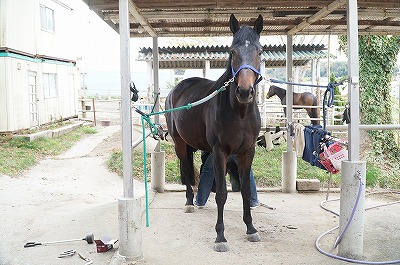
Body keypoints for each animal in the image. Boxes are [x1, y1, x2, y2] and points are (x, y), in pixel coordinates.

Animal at [165, 14, 262, 252]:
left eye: (259, 51)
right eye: (232, 51)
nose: (244, 91)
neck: (240, 113)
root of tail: (177, 88)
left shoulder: (247, 152)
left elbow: (245, 191)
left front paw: (251, 229)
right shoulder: (220, 153)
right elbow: (222, 194)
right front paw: (220, 237)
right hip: (180, 143)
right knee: (186, 168)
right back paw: (189, 203)